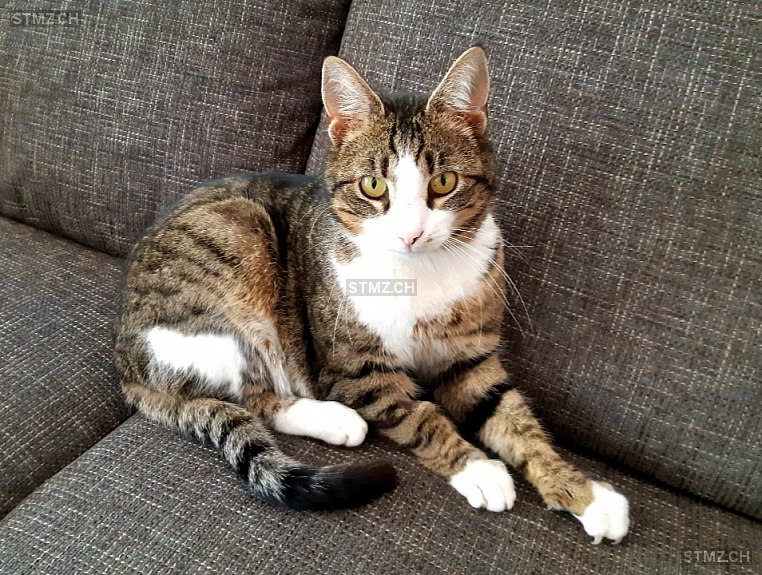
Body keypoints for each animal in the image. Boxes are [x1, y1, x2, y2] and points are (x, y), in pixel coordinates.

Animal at [115, 46, 629, 544]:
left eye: (444, 182)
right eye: (374, 185)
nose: (411, 234)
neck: (418, 273)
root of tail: (126, 360)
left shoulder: (470, 359)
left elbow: (516, 421)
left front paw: (586, 495)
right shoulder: (355, 369)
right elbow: (420, 414)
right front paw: (478, 468)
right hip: (237, 249)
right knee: (254, 396)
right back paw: (338, 420)